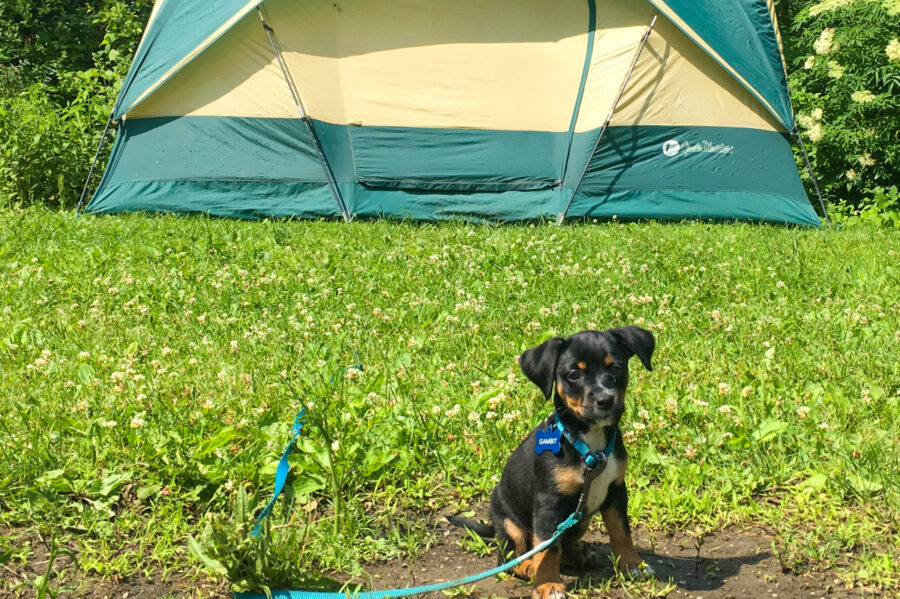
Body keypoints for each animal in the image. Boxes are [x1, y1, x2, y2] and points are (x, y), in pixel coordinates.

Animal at [450, 328, 652, 599]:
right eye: (574, 375)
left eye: (617, 368)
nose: (605, 400)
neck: (588, 443)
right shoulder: (548, 503)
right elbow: (548, 549)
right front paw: (547, 584)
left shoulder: (617, 491)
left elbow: (621, 531)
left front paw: (633, 564)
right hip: (510, 524)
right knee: (510, 558)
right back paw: (529, 568)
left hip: (581, 519)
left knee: (564, 544)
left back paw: (579, 555)